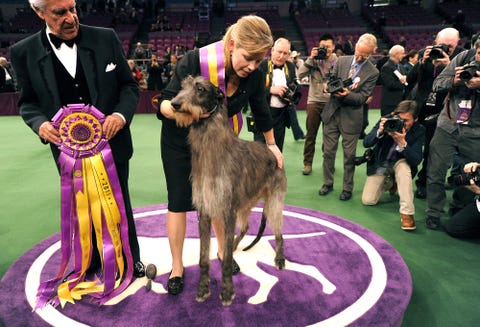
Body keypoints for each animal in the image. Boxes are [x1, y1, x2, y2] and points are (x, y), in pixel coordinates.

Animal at [171, 75, 286, 306]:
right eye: (182, 86)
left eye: (199, 88)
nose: (174, 104)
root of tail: (273, 149)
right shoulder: (205, 210)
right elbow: (203, 257)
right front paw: (203, 289)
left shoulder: (228, 210)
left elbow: (223, 263)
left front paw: (226, 292)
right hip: (246, 203)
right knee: (246, 226)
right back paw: (232, 247)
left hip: (274, 202)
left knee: (279, 232)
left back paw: (279, 258)